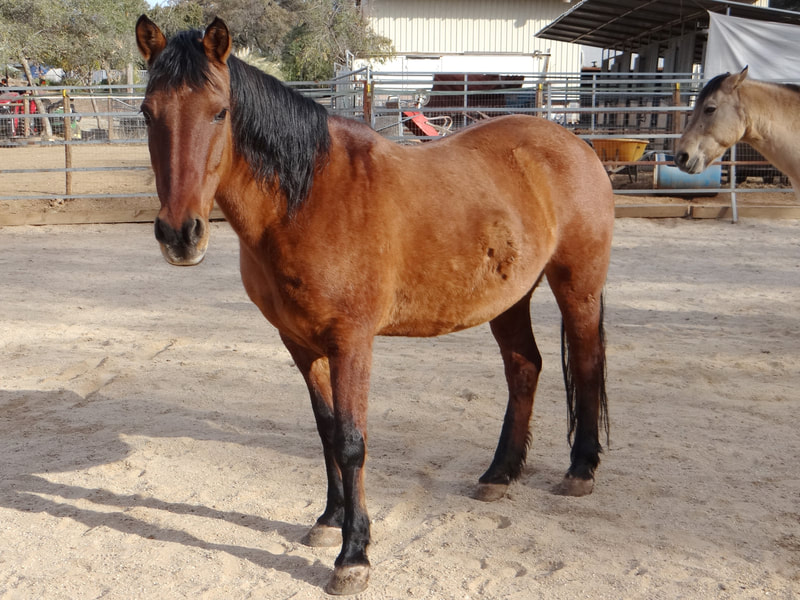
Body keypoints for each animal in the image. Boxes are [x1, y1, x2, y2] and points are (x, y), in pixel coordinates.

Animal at [135, 15, 614, 596]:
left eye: (219, 111)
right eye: (147, 112)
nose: (180, 234)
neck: (307, 198)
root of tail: (574, 144)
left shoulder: (352, 343)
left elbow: (351, 441)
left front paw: (354, 555)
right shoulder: (300, 344)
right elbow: (325, 432)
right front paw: (329, 520)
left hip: (577, 286)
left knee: (585, 362)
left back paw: (581, 470)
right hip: (509, 299)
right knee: (525, 368)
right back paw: (499, 475)